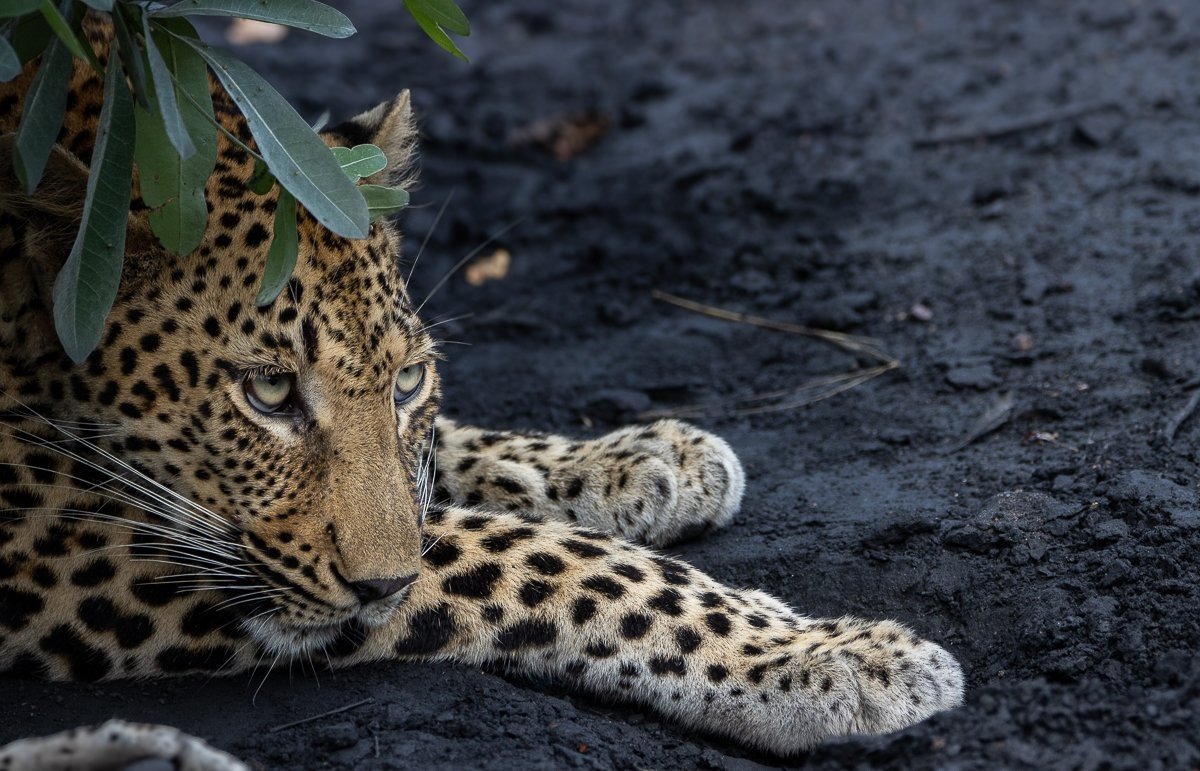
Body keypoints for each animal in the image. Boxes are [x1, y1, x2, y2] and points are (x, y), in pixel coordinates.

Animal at [0, 18, 963, 769]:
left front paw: (639, 459)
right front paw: (822, 654)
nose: (380, 586)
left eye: (408, 379)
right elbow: (534, 558)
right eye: (267, 392)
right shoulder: (65, 533)